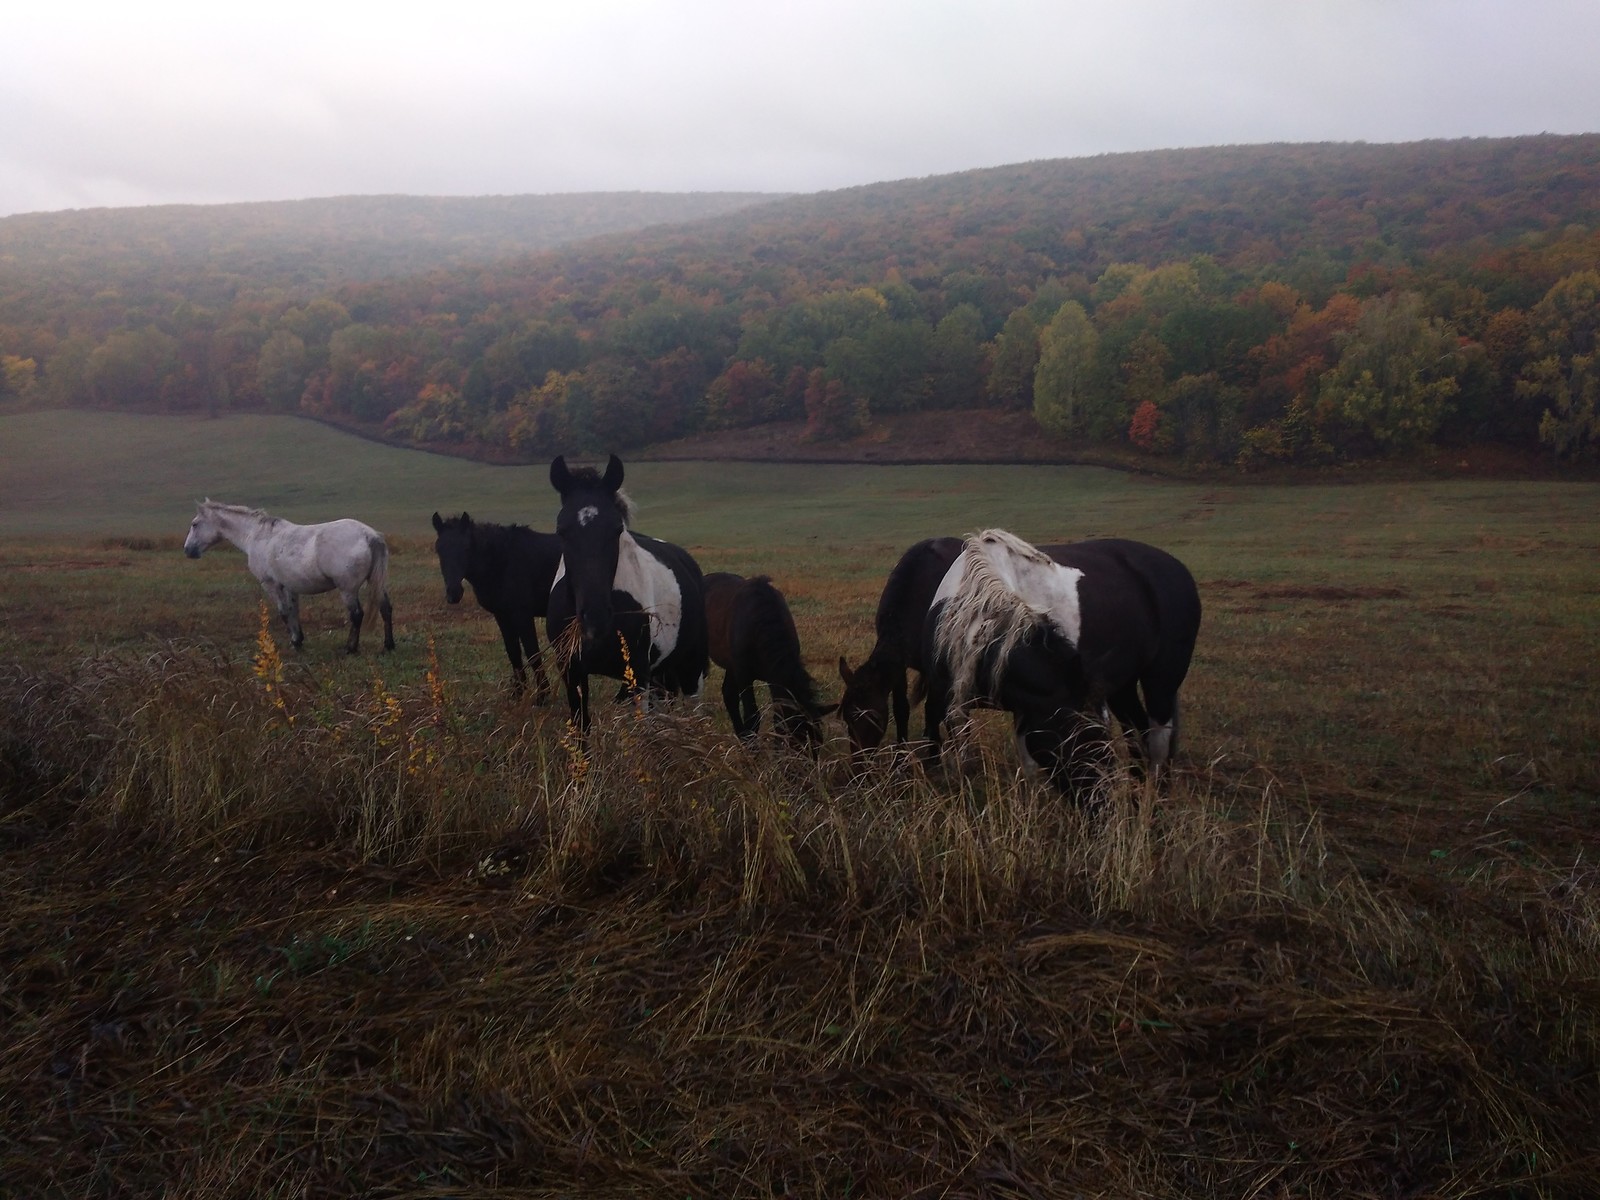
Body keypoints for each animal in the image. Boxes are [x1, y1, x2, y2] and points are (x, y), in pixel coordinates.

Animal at [180, 499, 392, 659]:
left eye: (194, 524)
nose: (188, 550)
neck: (258, 536)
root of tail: (369, 535)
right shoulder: (290, 586)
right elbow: (293, 611)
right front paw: (299, 640)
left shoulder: (271, 584)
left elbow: (283, 613)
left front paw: (295, 641)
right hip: (376, 584)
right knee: (385, 609)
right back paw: (388, 645)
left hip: (347, 589)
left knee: (356, 614)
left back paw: (350, 648)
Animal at [432, 512, 563, 700]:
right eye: (439, 550)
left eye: (466, 548)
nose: (453, 593)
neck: (502, 562)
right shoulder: (502, 615)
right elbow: (513, 652)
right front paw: (518, 692)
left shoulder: (522, 615)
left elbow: (532, 652)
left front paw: (542, 695)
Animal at [544, 454, 707, 729]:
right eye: (562, 531)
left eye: (616, 530)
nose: (595, 617)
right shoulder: (571, 671)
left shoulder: (638, 674)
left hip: (689, 665)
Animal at [707, 572, 844, 752]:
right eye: (795, 737)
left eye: (818, 742)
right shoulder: (744, 675)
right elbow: (752, 715)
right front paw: (752, 750)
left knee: (729, 694)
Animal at [921, 534, 1196, 800]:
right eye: (1077, 735)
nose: (1102, 802)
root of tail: (1177, 567)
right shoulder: (959, 699)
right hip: (1122, 687)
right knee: (1138, 732)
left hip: (1161, 682)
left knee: (1158, 743)